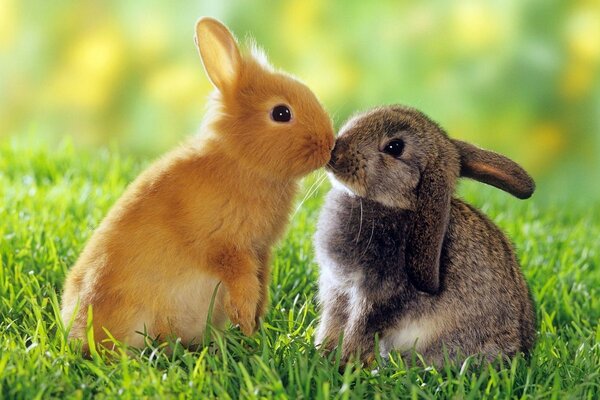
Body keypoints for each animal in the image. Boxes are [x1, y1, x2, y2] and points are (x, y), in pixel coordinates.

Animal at [61, 18, 336, 350]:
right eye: (281, 113)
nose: (330, 145)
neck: (241, 162)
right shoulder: (227, 248)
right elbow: (243, 284)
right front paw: (246, 324)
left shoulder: (261, 251)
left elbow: (261, 284)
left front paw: (255, 326)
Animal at [316, 105, 536, 366]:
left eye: (395, 147)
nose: (335, 153)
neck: (398, 204)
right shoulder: (337, 289)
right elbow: (332, 324)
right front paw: (321, 354)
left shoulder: (377, 296)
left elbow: (359, 329)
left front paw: (343, 364)